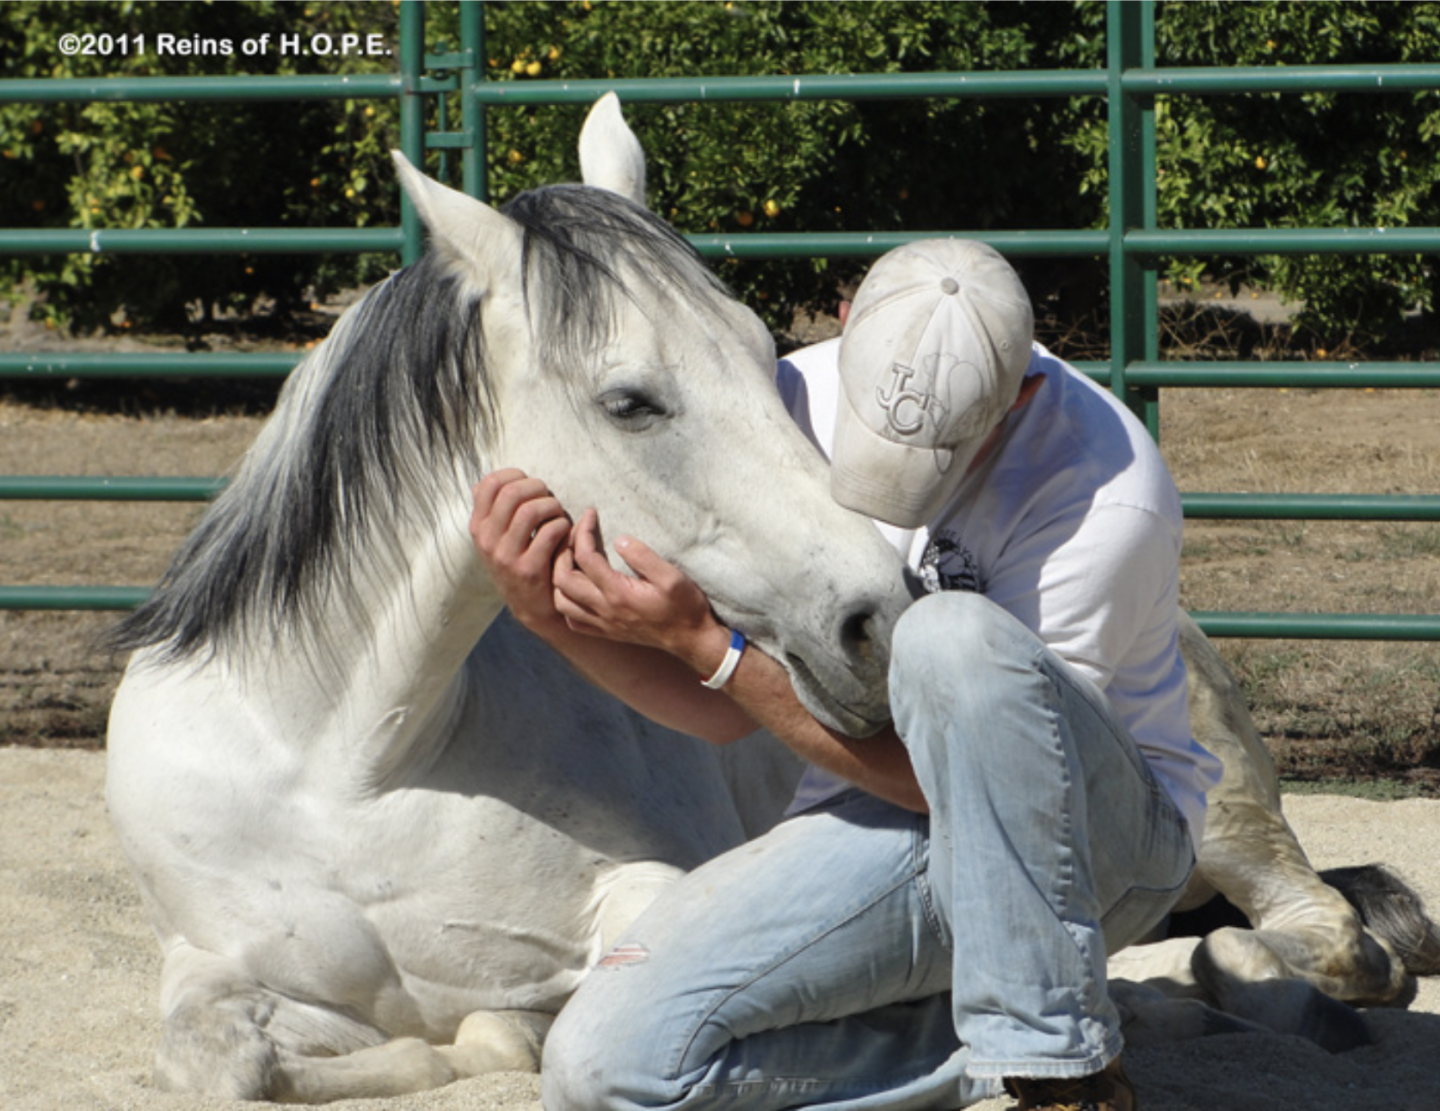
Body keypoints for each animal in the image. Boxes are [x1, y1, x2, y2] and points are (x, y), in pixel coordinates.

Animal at [104, 97, 910, 1099]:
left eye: (765, 354)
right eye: (629, 402)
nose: (877, 620)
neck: (351, 764)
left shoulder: (656, 883)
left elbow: (499, 1028)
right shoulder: (204, 961)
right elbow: (225, 1061)